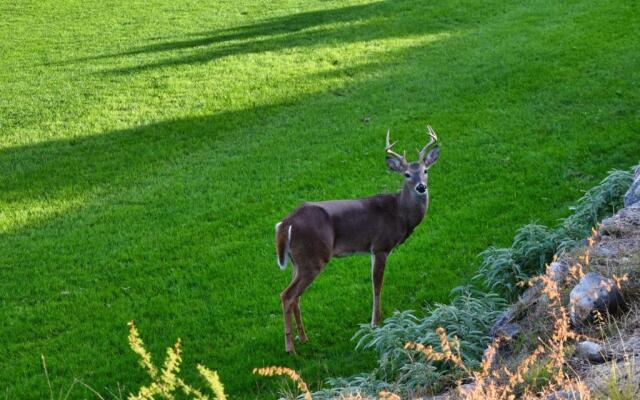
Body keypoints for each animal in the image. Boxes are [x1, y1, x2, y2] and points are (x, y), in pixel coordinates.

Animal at [276, 124, 440, 354]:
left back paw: (304, 338)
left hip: (297, 260)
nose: (421, 187)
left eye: (425, 171)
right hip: (313, 256)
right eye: (407, 174)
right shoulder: (380, 245)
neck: (399, 213)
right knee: (287, 295)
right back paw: (290, 347)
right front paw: (375, 323)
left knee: (296, 296)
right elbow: (377, 284)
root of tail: (286, 223)